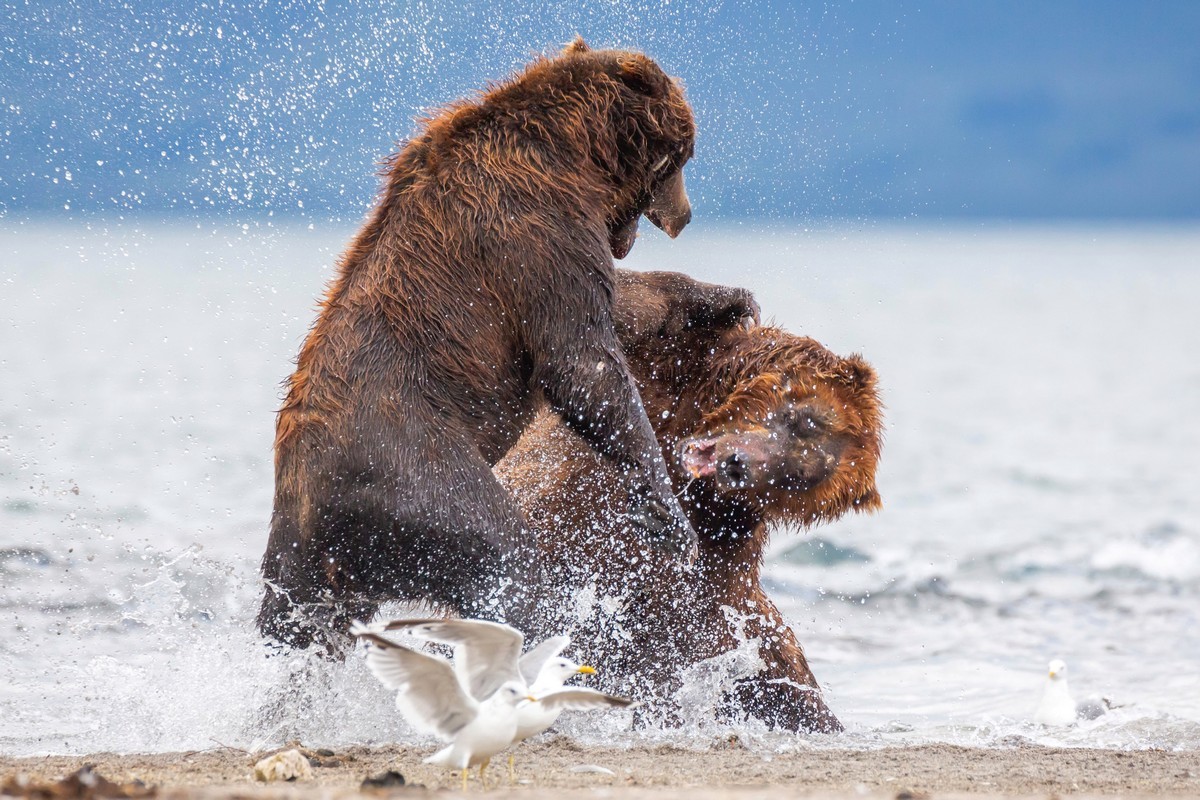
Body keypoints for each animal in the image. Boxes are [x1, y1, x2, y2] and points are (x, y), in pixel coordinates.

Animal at [256, 37, 700, 652]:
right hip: (418, 470)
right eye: (684, 155)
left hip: (302, 563)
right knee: (511, 566)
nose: (686, 215)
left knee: (294, 624)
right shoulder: (537, 231)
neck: (579, 154)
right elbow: (581, 360)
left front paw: (727, 298)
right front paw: (669, 515)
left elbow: (620, 308)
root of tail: (304, 499)